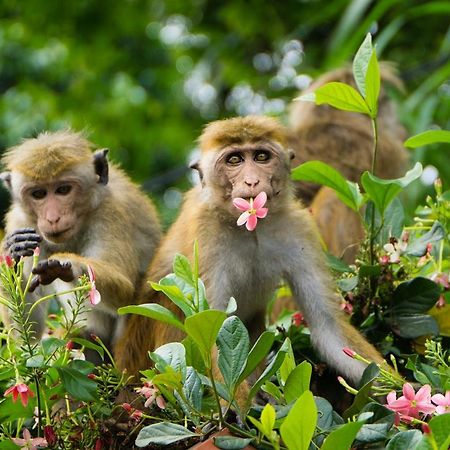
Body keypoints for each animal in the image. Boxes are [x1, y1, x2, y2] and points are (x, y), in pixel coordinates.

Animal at [0, 130, 162, 352]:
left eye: (63, 190)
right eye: (39, 194)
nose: (53, 218)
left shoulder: (110, 212)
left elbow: (124, 292)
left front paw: (66, 265)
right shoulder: (20, 222)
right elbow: (29, 334)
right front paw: (12, 253)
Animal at [114, 116, 382, 386]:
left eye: (261, 156)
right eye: (234, 160)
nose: (252, 181)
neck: (250, 229)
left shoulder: (299, 228)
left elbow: (329, 328)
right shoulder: (205, 234)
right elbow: (209, 330)